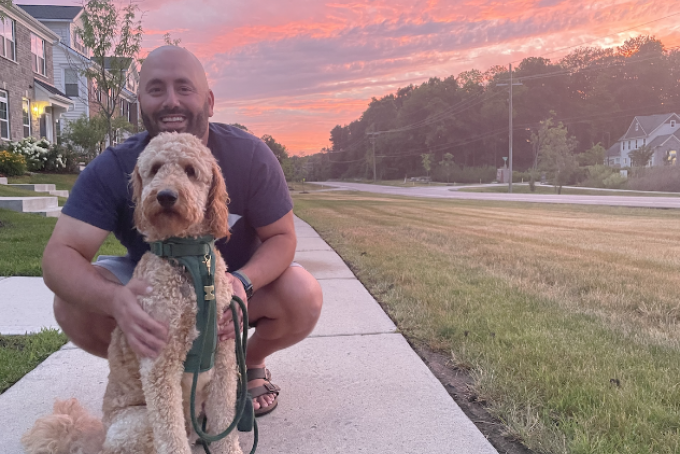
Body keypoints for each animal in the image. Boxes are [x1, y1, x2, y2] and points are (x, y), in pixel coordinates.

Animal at [22, 132, 243, 454]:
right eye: (155, 169)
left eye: (190, 171)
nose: (165, 195)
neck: (186, 260)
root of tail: (99, 437)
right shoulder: (159, 365)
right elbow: (171, 436)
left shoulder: (225, 358)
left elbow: (225, 421)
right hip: (137, 425)